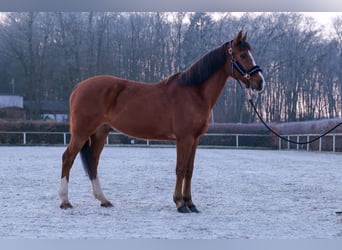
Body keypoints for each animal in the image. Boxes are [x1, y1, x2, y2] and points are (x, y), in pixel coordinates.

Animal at [58, 30, 266, 213]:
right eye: (242, 55)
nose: (260, 82)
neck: (194, 92)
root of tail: (78, 87)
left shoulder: (195, 139)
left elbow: (189, 170)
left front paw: (191, 203)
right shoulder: (184, 138)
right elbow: (180, 169)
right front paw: (180, 203)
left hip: (100, 132)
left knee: (93, 162)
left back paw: (103, 200)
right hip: (81, 132)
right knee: (68, 158)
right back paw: (65, 201)